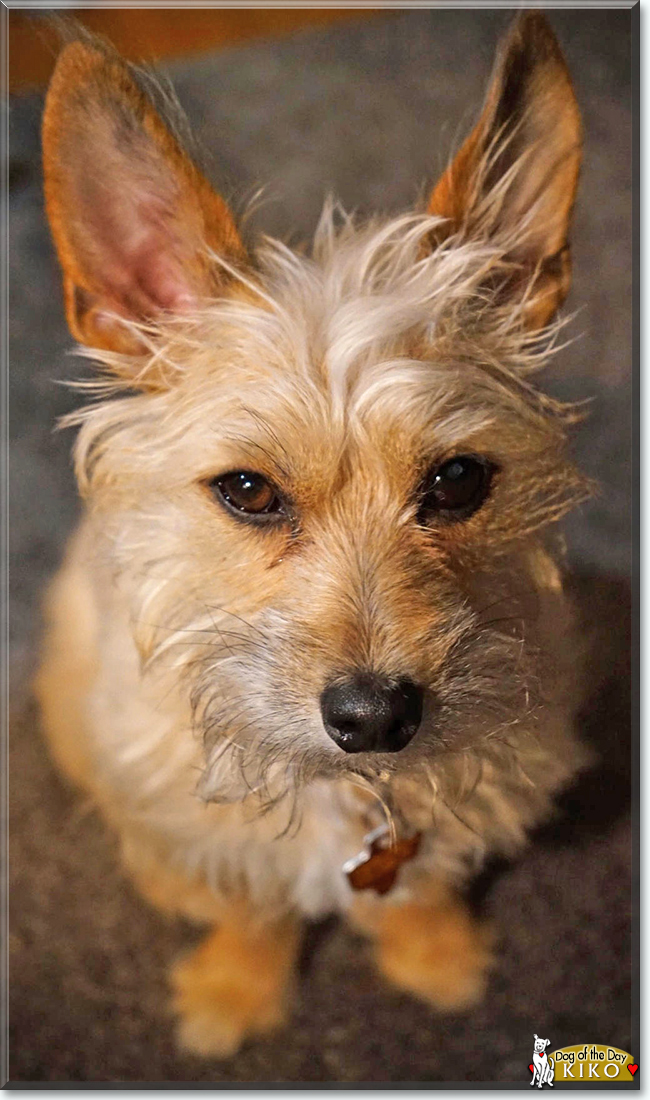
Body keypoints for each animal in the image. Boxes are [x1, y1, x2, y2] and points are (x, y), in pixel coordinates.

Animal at [38, 8, 593, 1056]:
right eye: (249, 491)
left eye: (458, 480)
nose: (374, 719)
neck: (355, 794)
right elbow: (250, 903)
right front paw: (235, 996)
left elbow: (418, 886)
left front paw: (434, 958)